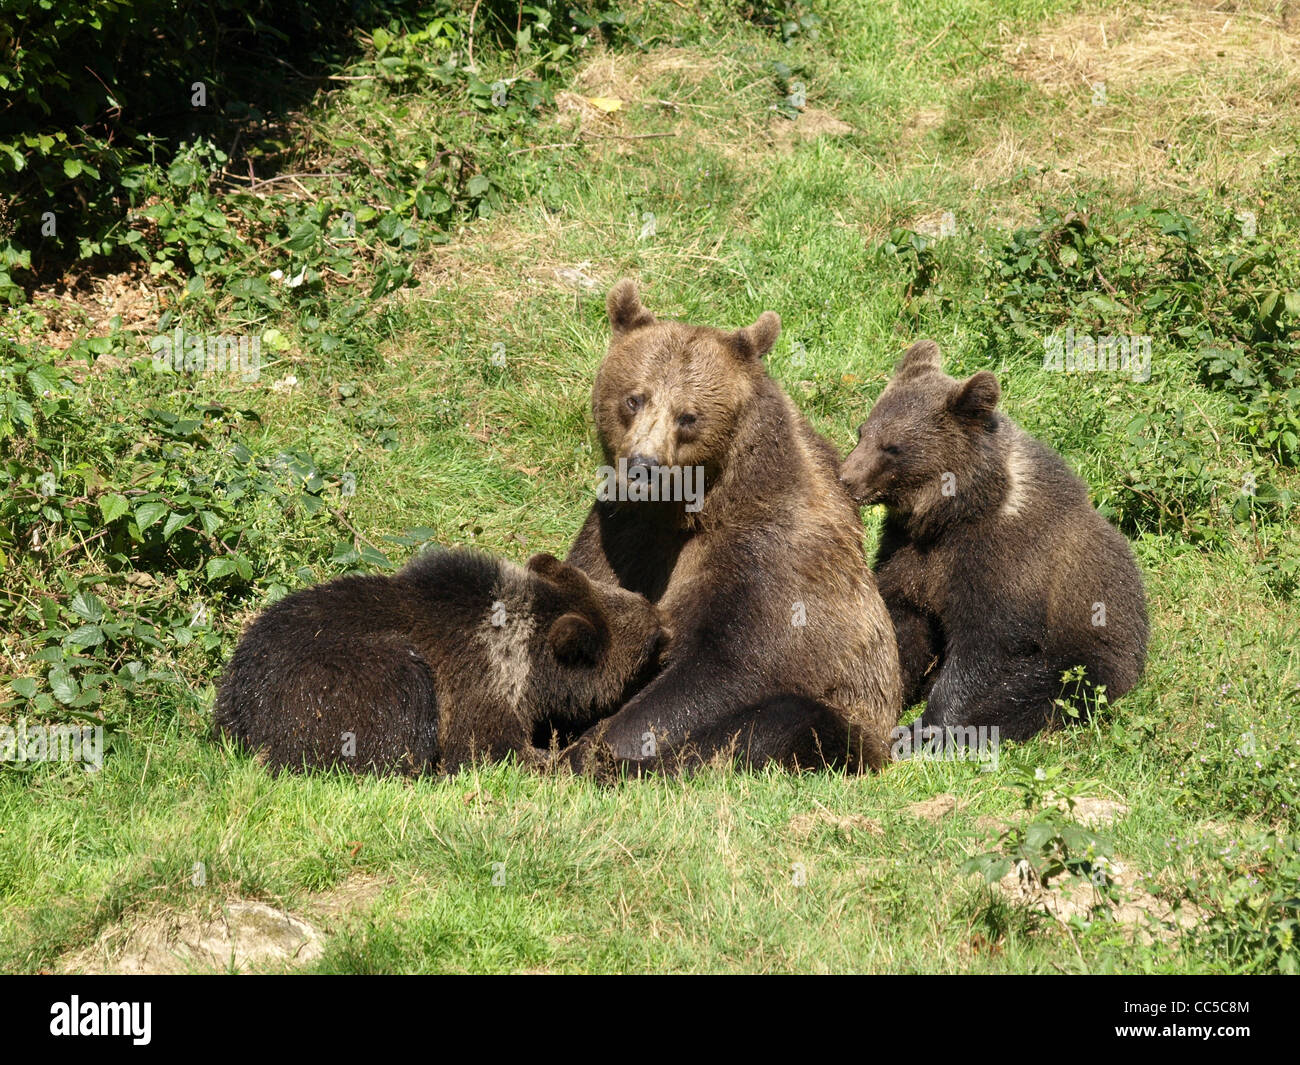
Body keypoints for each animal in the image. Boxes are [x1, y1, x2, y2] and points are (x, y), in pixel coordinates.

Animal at [213, 549, 667, 774]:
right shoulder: (479, 685)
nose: (663, 623)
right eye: (647, 645)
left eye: (636, 600)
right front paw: (575, 756)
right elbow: (489, 750)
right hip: (334, 678)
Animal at [560, 280, 902, 772]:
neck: (694, 507)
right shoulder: (622, 531)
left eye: (689, 416)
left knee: (787, 723)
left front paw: (593, 748)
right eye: (633, 398)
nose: (642, 467)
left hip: (854, 720)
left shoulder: (768, 554)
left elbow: (725, 665)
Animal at [838, 339, 1149, 743]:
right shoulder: (907, 552)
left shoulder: (1002, 560)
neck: (954, 513)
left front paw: (928, 725)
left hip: (1091, 653)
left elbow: (986, 647)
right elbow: (901, 621)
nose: (845, 478)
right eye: (863, 431)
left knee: (1041, 690)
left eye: (892, 447)